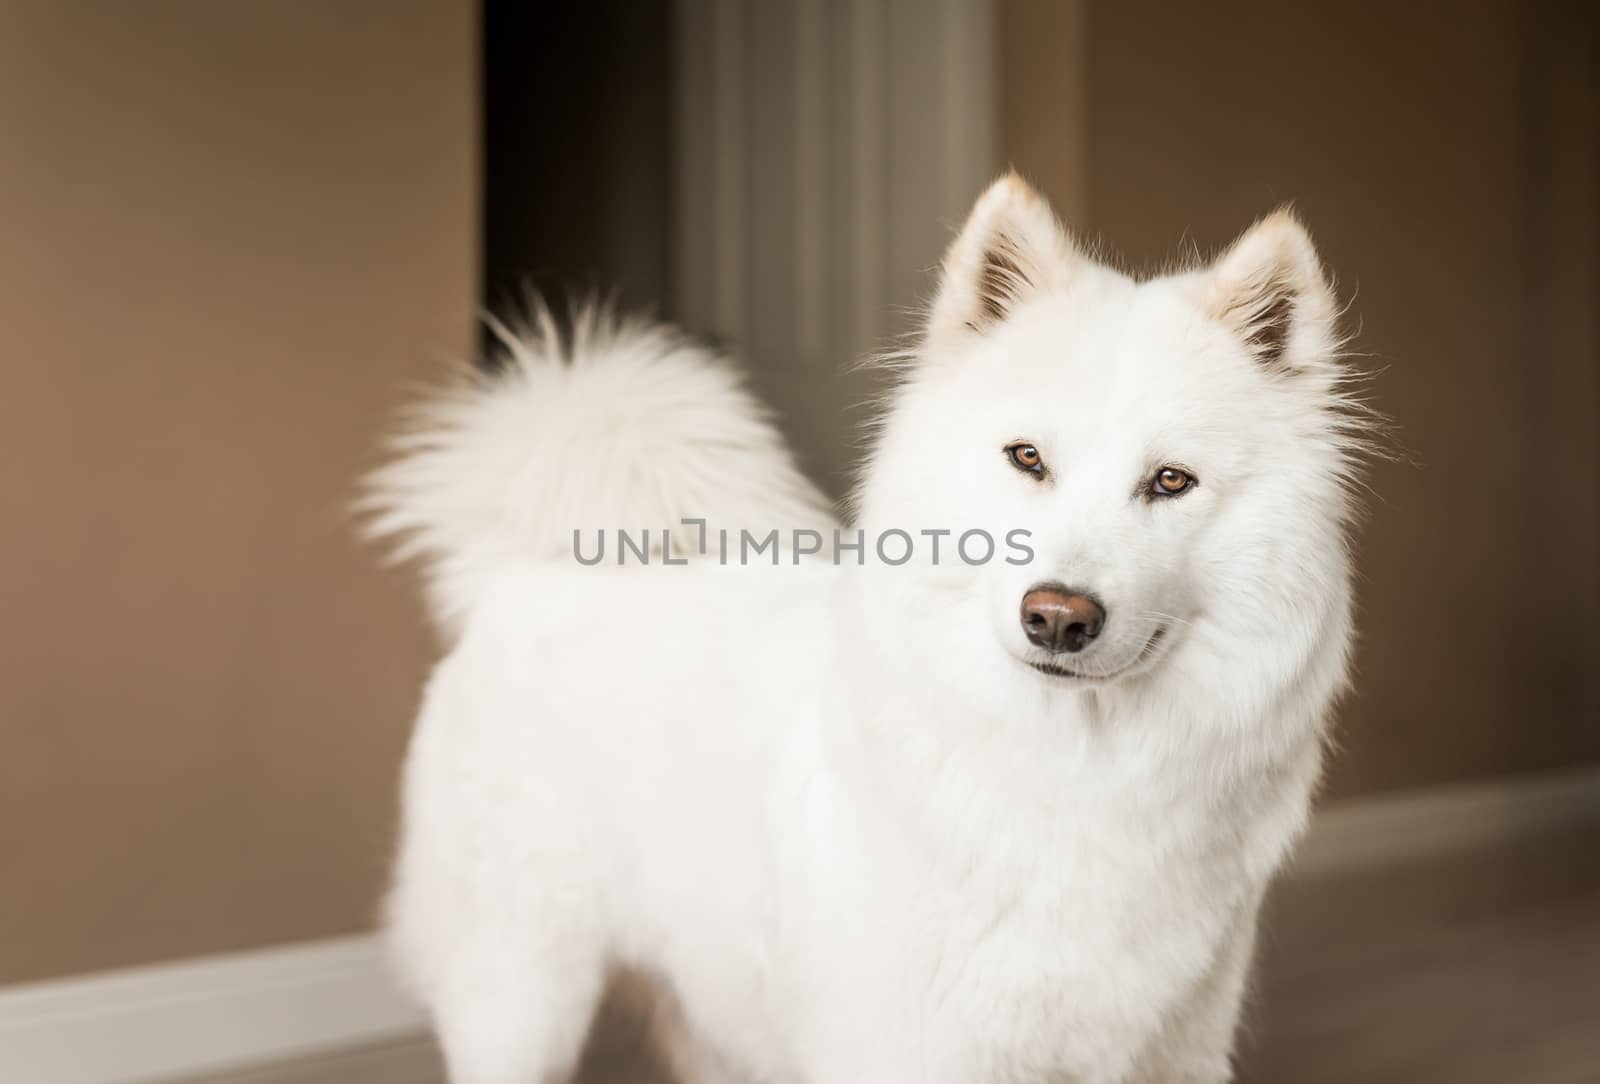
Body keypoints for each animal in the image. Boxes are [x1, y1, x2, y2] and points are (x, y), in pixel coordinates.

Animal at [368, 174, 1369, 1080]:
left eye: (1170, 482)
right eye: (1027, 459)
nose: (1057, 617)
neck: (1071, 773)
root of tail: (521, 574)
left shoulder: (1175, 1051)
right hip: (522, 997)